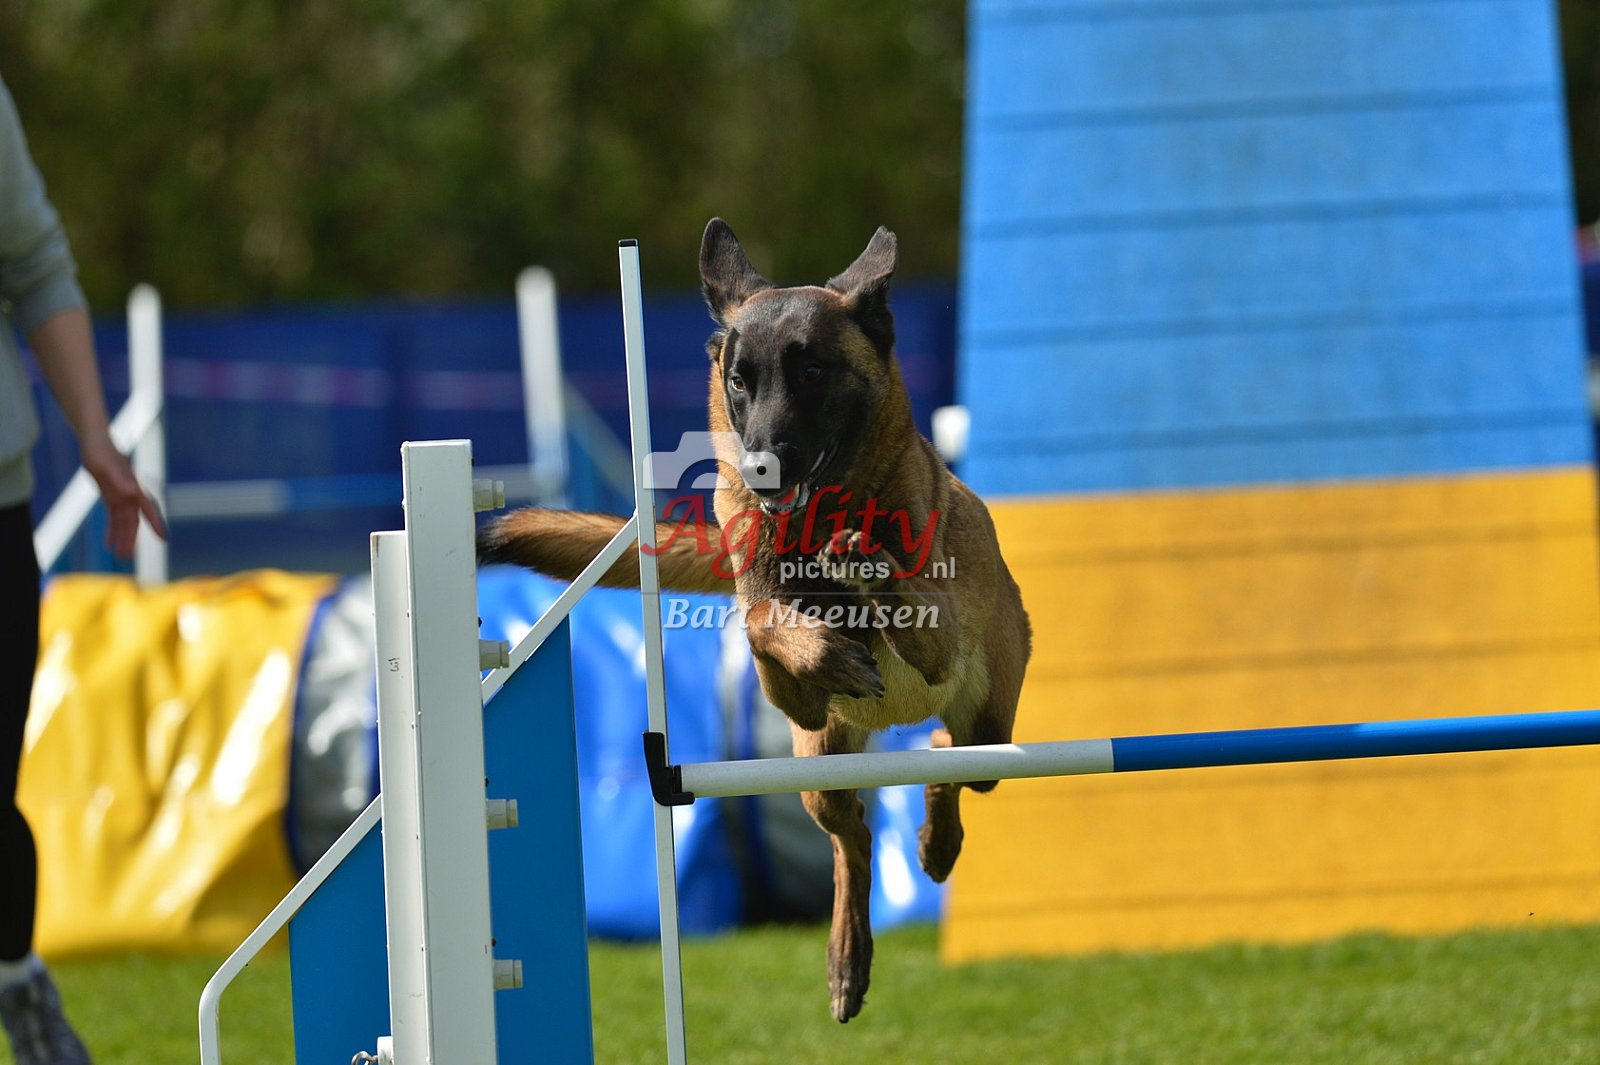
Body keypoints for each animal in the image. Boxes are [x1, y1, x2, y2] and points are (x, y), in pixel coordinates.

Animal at [478, 218, 1031, 1022]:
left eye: (813, 372)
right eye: (740, 379)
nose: (762, 467)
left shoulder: (937, 638)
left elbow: (896, 595)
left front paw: (862, 566)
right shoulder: (791, 693)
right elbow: (761, 623)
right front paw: (824, 641)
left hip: (987, 730)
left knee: (943, 759)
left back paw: (934, 844)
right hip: (818, 763)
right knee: (855, 837)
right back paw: (848, 956)